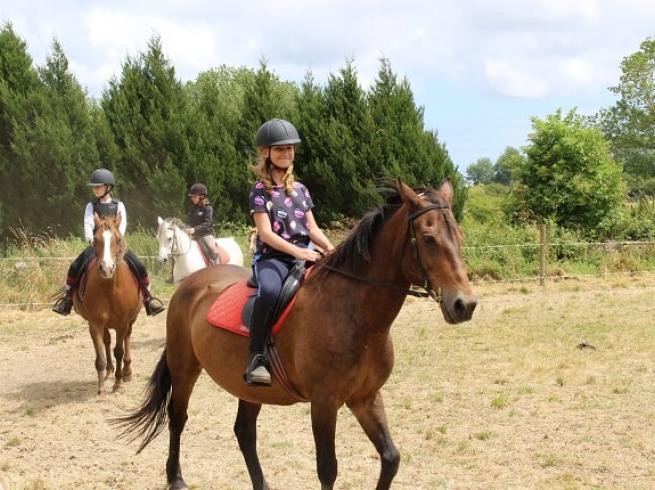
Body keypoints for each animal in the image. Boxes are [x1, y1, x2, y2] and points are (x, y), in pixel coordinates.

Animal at [76, 214, 144, 394]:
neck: (109, 288)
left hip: (130, 321)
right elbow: (100, 355)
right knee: (106, 341)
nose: (106, 269)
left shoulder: (122, 323)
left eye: (118, 239)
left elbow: (118, 351)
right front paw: (101, 388)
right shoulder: (95, 324)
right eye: (95, 240)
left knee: (127, 338)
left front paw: (118, 383)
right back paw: (109, 370)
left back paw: (126, 372)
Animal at [116, 178, 476, 488]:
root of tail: (191, 284)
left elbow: (390, 458)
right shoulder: (324, 403)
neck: (353, 314)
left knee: (244, 432)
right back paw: (175, 478)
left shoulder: (366, 397)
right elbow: (328, 469)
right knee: (178, 417)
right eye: (428, 238)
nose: (465, 304)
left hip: (248, 386)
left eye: (459, 236)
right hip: (185, 368)